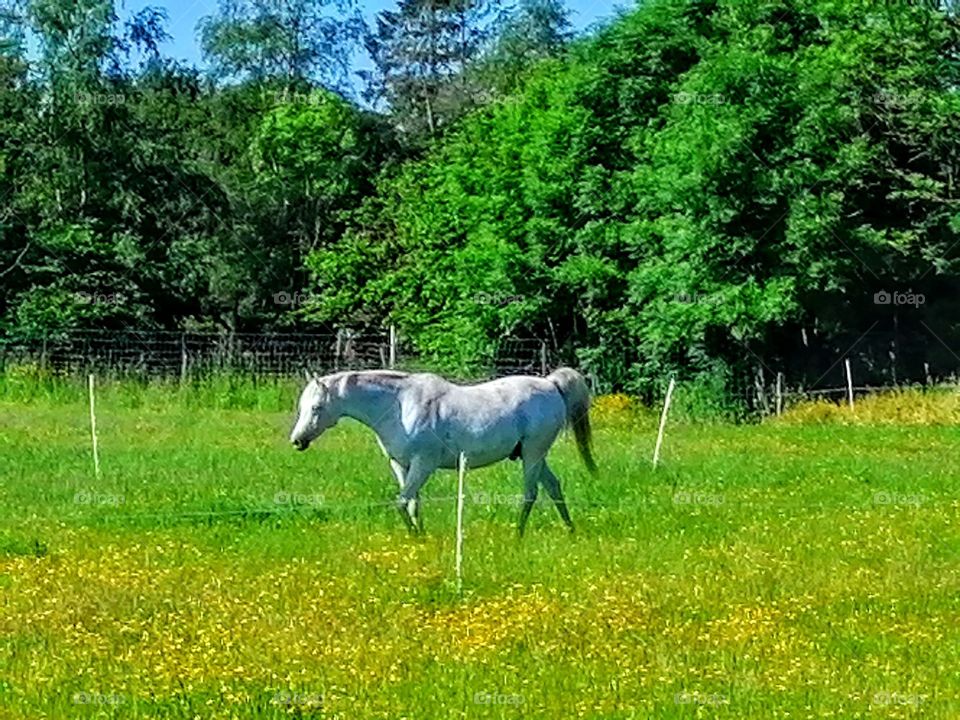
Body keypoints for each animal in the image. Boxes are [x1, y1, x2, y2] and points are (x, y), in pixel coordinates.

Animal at [289, 367, 598, 536]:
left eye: (316, 407)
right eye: (302, 407)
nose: (297, 440)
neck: (399, 405)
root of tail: (551, 384)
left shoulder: (423, 465)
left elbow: (401, 502)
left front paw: (415, 535)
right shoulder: (401, 465)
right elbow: (412, 503)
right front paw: (420, 537)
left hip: (533, 454)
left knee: (531, 493)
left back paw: (518, 535)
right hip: (534, 456)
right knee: (554, 487)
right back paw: (570, 530)